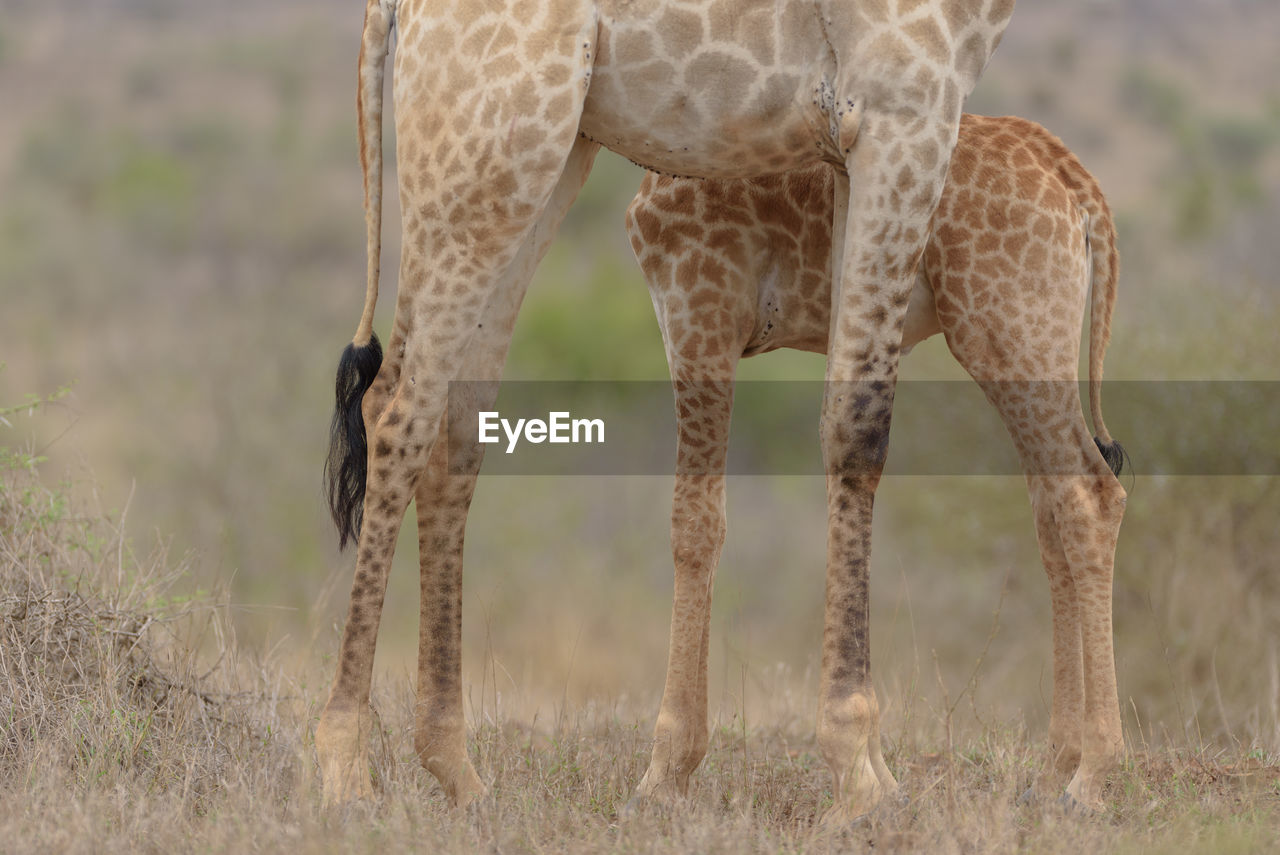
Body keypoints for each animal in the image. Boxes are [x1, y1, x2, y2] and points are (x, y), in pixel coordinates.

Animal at [314, 0, 1013, 819]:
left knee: (448, 424)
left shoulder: (854, 143)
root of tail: (391, 7)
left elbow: (843, 414)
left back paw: (455, 768)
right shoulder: (908, 106)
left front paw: (870, 767)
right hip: (486, 152)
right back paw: (344, 766)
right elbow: (859, 429)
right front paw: (860, 774)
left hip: (537, 156)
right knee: (399, 412)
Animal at [624, 115, 1126, 814]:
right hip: (1027, 339)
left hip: (1004, 328)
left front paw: (665, 771)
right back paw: (1056, 770)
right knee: (1053, 512)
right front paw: (878, 774)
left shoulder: (699, 307)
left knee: (1089, 496)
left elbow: (695, 524)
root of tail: (1076, 185)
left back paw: (1092, 776)